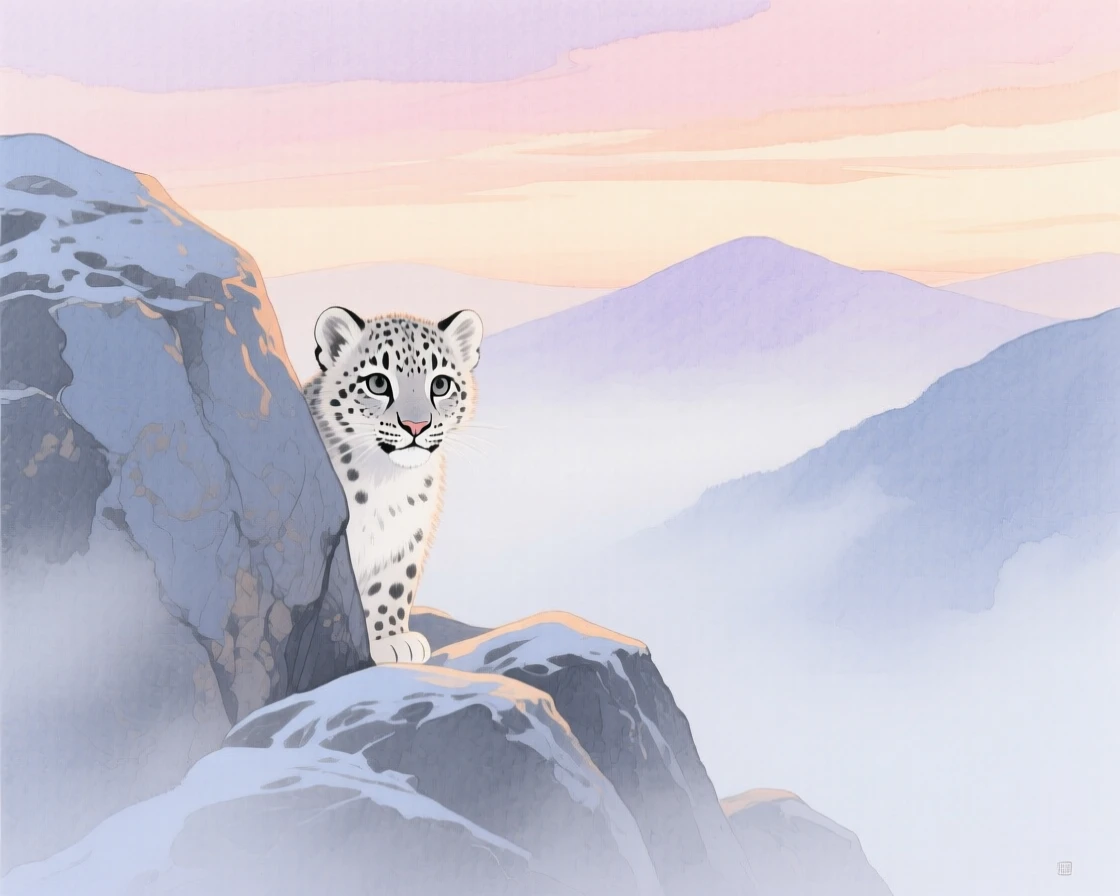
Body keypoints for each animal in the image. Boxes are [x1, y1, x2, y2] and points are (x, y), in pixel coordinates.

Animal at [303, 306, 483, 665]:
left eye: (440, 384)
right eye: (377, 382)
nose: (416, 425)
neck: (386, 481)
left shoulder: (405, 539)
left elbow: (392, 587)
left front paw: (391, 639)